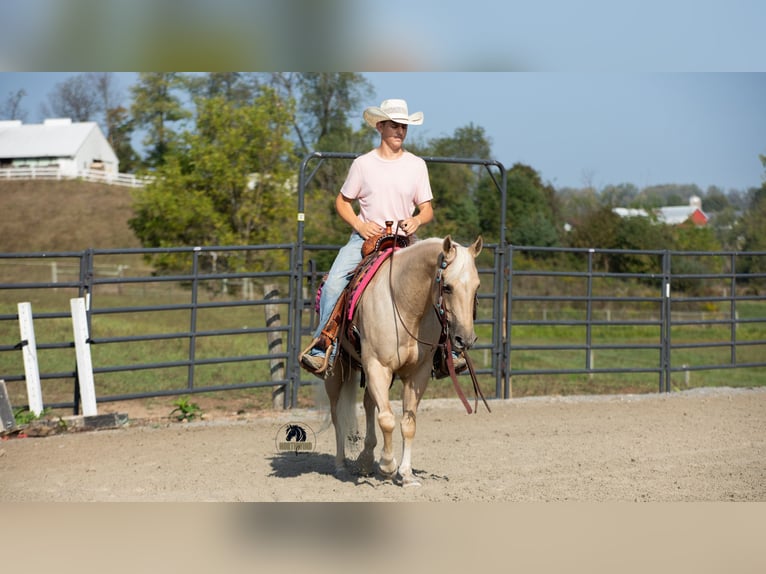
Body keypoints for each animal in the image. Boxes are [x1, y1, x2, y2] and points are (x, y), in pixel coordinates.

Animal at [323, 235, 483, 487]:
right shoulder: (377, 366)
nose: (465, 339)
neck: (404, 305)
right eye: (447, 286)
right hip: (337, 371)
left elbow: (408, 423)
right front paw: (388, 467)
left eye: (477, 286)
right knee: (337, 413)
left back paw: (366, 460)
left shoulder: (418, 373)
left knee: (369, 404)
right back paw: (341, 465)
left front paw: (406, 474)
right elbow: (387, 419)